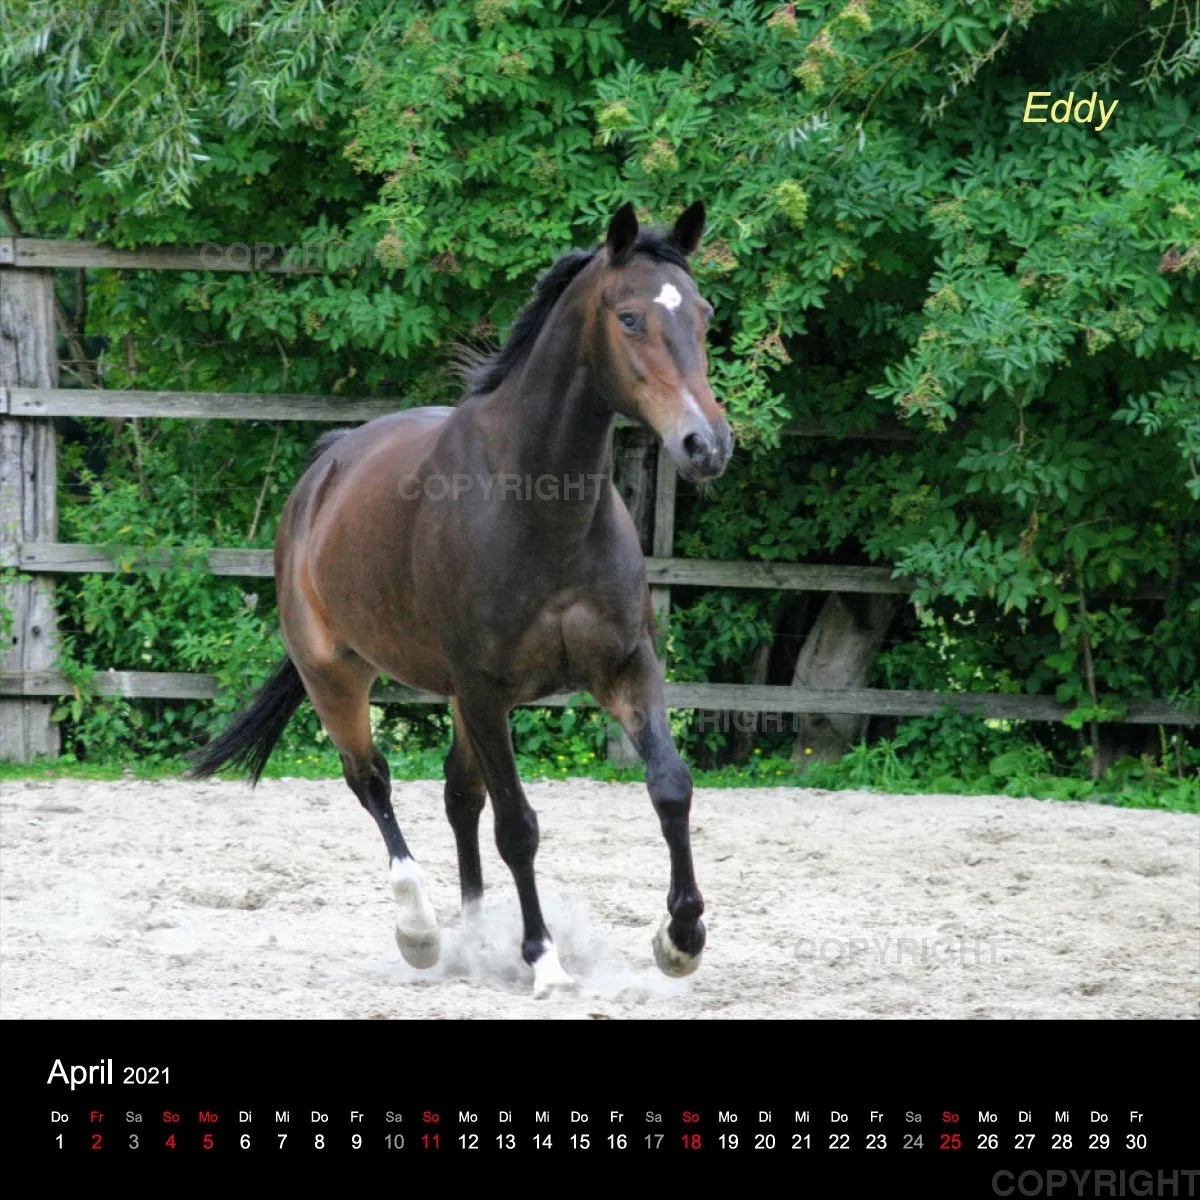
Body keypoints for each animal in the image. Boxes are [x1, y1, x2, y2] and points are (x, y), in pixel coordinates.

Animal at [190, 201, 733, 996]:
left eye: (703, 314)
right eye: (630, 318)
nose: (708, 446)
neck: (539, 506)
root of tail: (324, 468)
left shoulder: (624, 668)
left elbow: (670, 786)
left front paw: (681, 939)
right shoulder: (482, 689)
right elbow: (518, 825)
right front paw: (544, 960)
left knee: (456, 795)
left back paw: (477, 939)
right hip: (337, 677)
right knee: (373, 781)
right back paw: (421, 932)